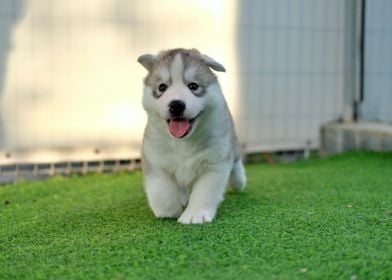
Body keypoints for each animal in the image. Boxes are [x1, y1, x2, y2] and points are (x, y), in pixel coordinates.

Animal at [139, 47, 245, 223]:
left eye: (193, 86)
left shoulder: (214, 164)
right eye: (162, 87)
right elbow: (161, 189)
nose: (176, 105)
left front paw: (195, 214)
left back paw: (239, 181)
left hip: (232, 144)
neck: (183, 142)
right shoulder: (155, 159)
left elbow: (204, 192)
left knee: (236, 162)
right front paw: (168, 211)